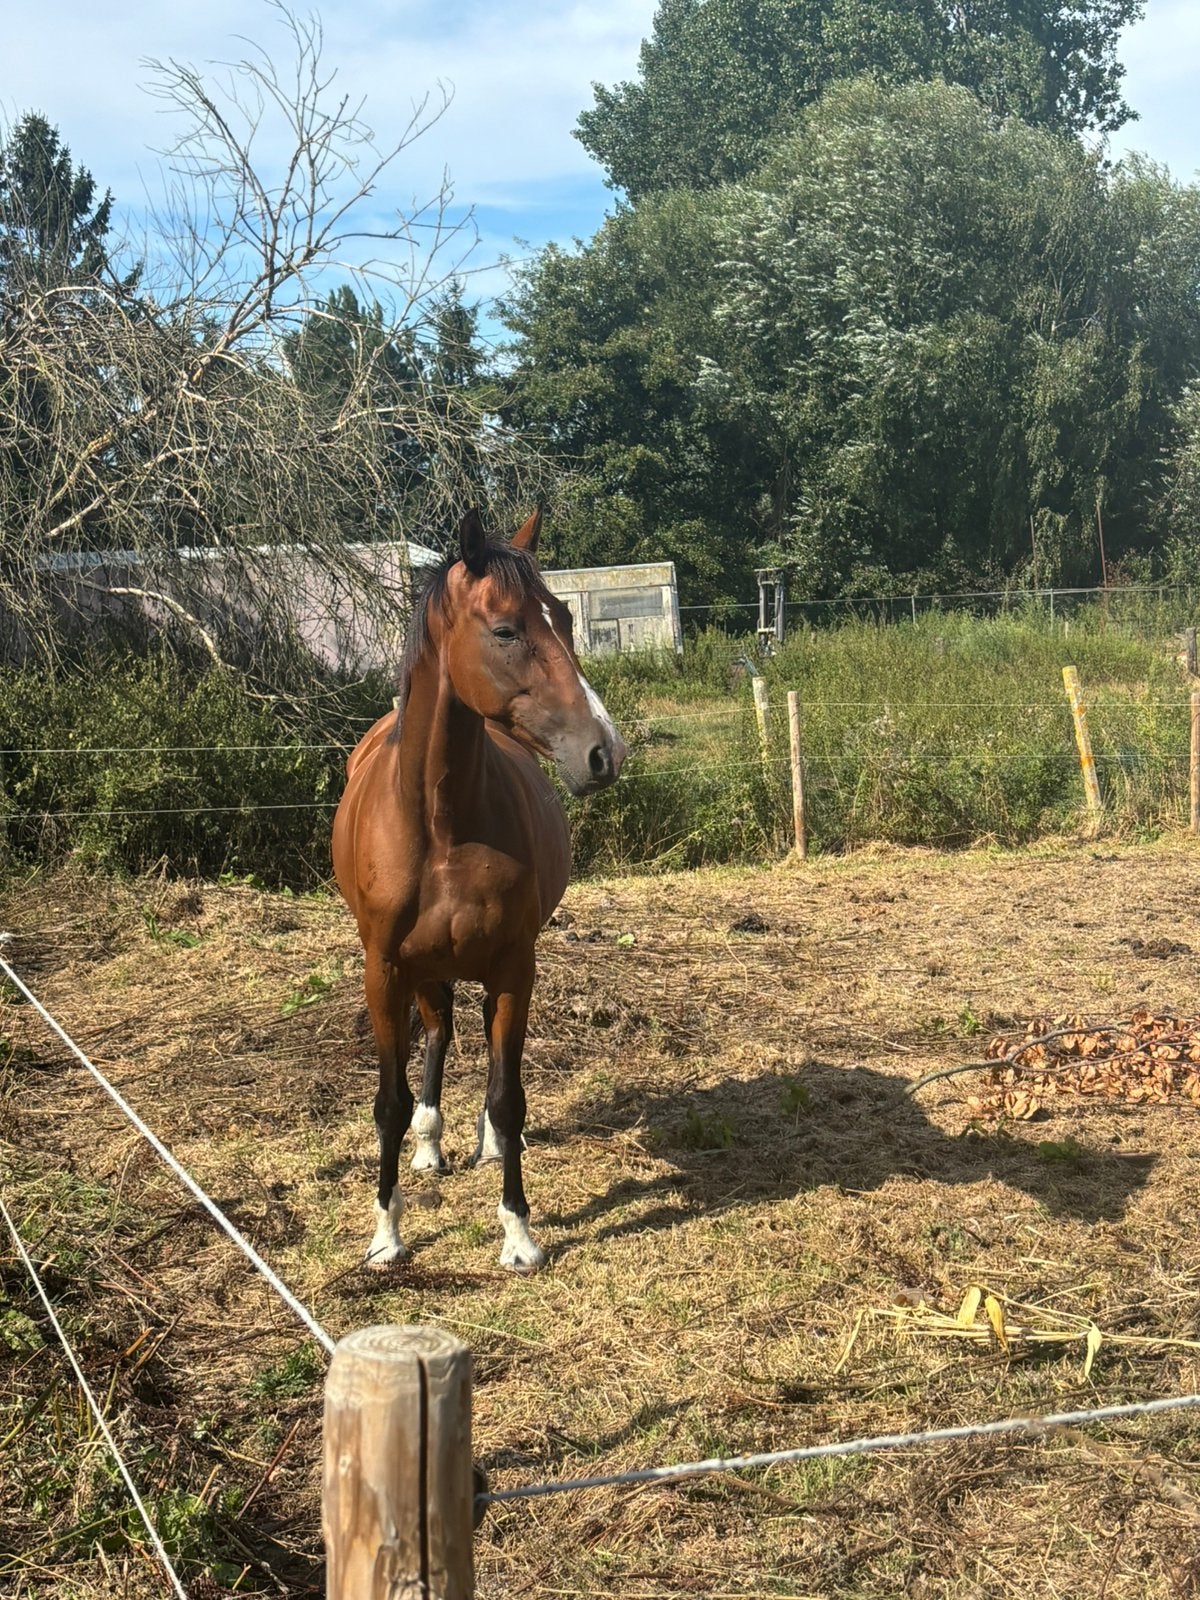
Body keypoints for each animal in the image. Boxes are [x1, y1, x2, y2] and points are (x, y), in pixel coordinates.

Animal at [332, 508, 626, 1272]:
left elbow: (507, 1094)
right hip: (421, 971)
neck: (441, 822)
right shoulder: (384, 970)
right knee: (436, 1036)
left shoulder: (514, 966)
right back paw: (429, 1145)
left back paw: (484, 1145)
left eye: (565, 619)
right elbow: (388, 1102)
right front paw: (386, 1234)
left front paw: (519, 1233)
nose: (604, 752)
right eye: (506, 630)